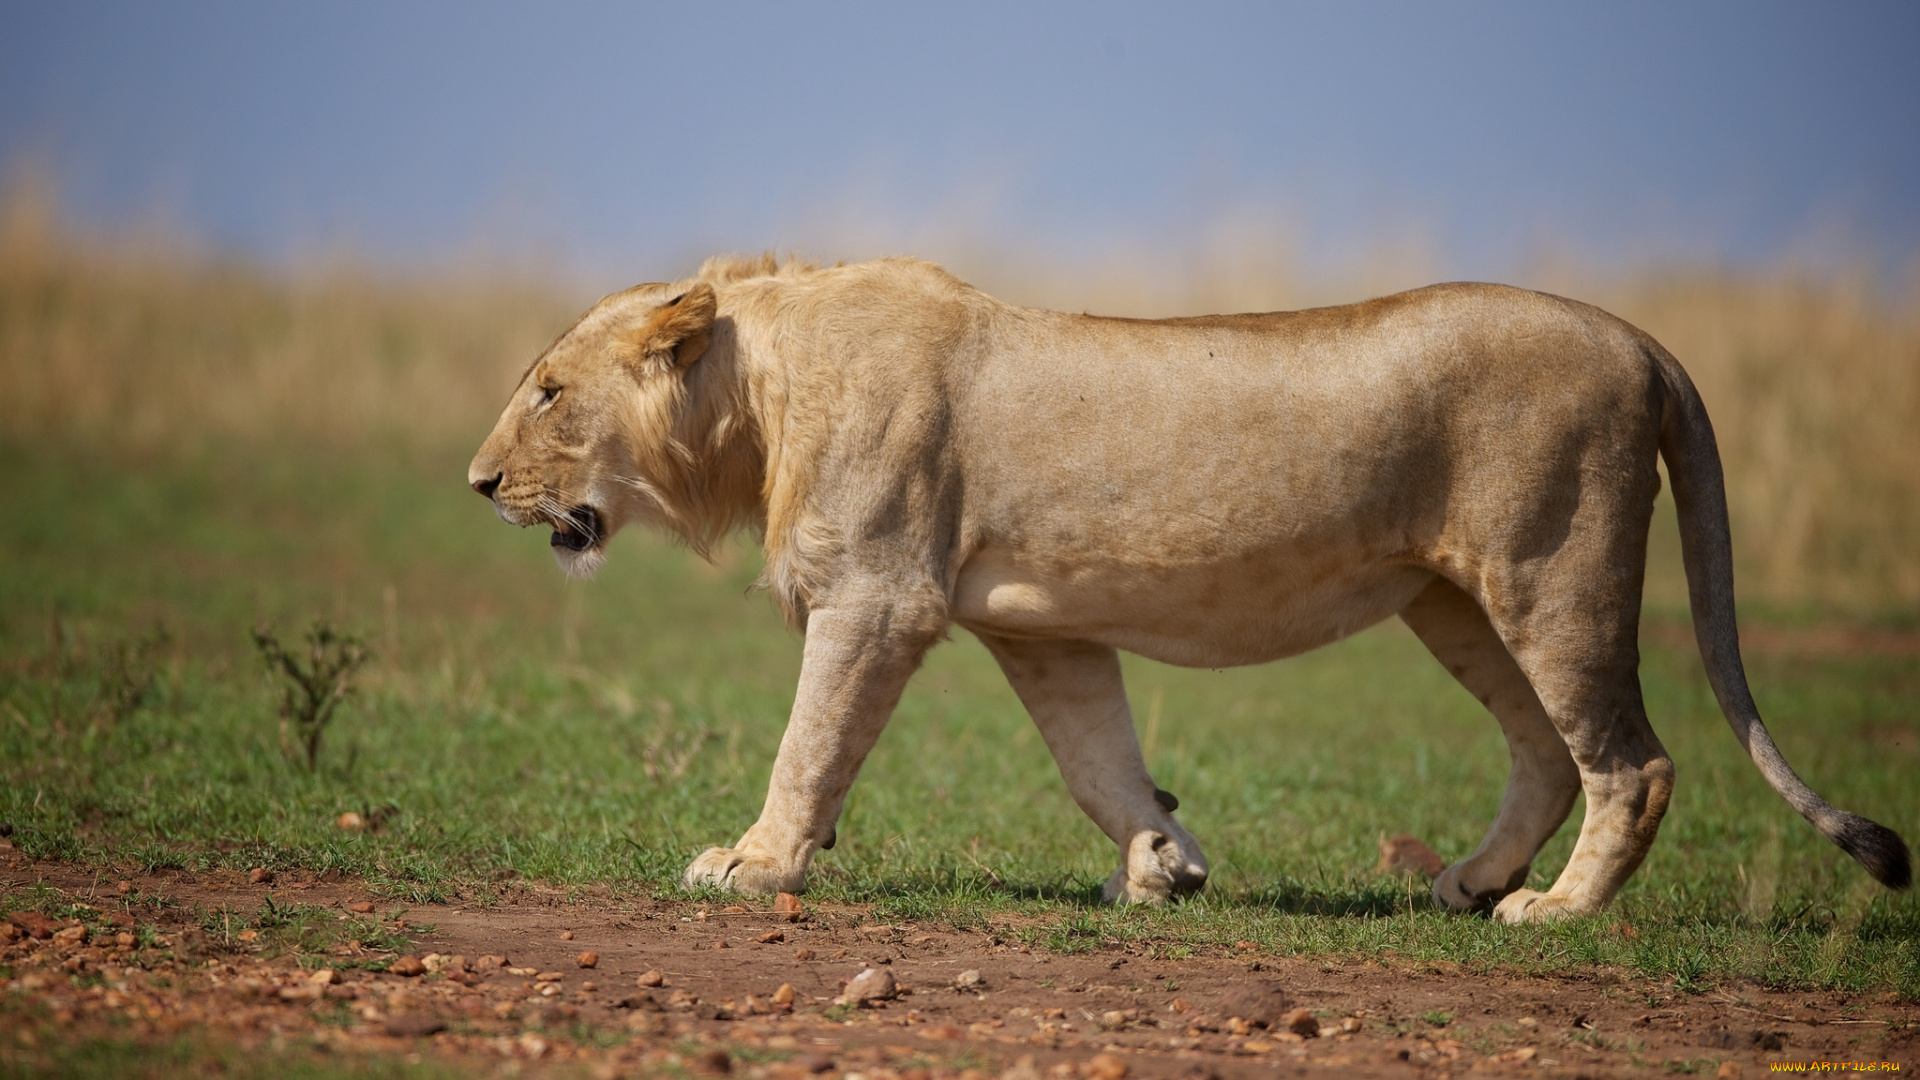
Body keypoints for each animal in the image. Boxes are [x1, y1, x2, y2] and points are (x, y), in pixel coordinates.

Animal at [468, 251, 1904, 914]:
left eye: (547, 392)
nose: (477, 486)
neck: (755, 397)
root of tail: (1644, 339)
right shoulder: (1038, 626)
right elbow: (1098, 758)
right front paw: (1162, 864)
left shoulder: (877, 597)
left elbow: (808, 746)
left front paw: (752, 863)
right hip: (1451, 599)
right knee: (1550, 751)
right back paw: (1466, 884)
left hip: (1556, 570)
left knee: (1634, 760)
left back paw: (1553, 913)